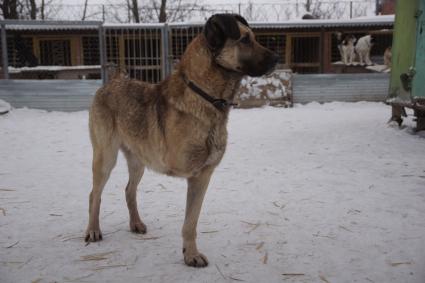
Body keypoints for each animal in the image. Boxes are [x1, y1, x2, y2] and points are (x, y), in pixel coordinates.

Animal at [85, 14, 278, 268]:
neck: (204, 96)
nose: (277, 58)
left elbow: (192, 221)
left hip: (138, 160)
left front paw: (190, 252)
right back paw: (93, 230)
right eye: (245, 39)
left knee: (129, 190)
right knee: (94, 194)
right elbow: (188, 222)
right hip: (105, 157)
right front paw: (191, 255)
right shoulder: (193, 174)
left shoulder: (203, 176)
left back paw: (135, 223)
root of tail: (111, 83)